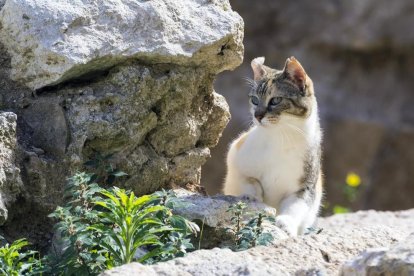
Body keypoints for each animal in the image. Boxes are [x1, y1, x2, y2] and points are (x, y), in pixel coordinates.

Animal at [223, 57, 324, 236]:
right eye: (254, 100)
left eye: (275, 100)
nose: (257, 115)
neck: (280, 137)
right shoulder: (235, 157)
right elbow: (249, 181)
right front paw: (252, 198)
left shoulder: (306, 187)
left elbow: (295, 207)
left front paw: (286, 223)